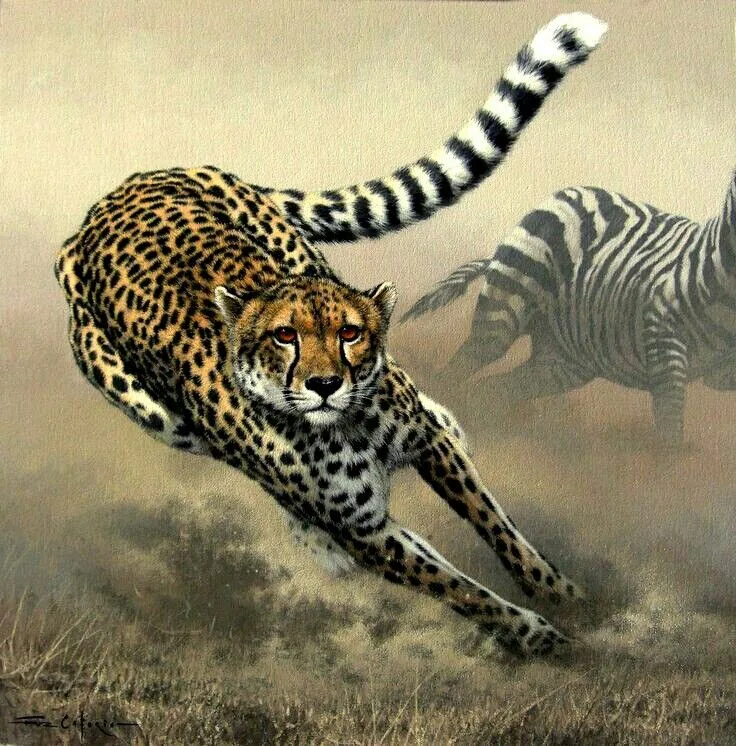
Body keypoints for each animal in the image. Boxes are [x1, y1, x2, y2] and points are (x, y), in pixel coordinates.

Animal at [55, 13, 607, 655]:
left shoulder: (425, 448)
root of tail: (110, 200)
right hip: (158, 414)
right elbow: (459, 589)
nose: (324, 384)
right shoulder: (368, 533)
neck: (349, 424)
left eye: (349, 333)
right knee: (246, 470)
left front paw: (559, 592)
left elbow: (497, 522)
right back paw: (314, 540)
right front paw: (534, 633)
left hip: (299, 250)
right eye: (283, 337)